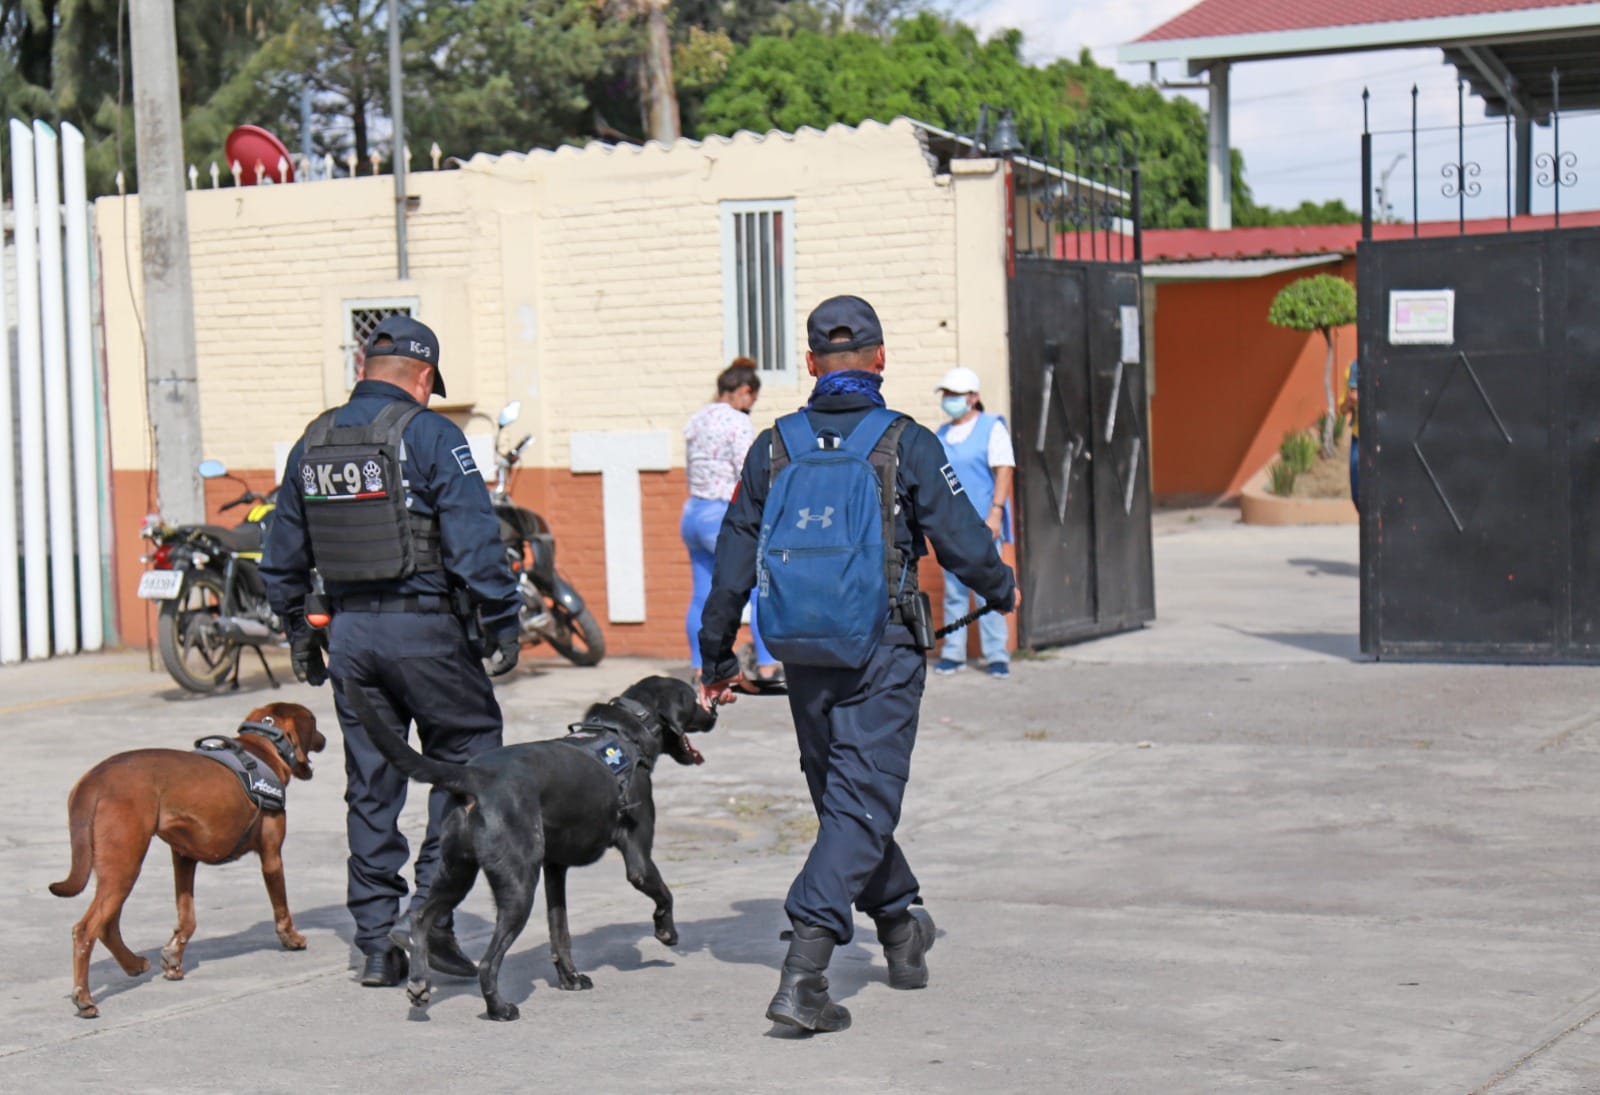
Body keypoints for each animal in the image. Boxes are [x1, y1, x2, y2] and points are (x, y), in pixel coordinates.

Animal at [50, 701, 326, 1018]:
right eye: (315, 726)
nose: (325, 740)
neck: (262, 747)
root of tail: (94, 780)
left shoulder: (183, 857)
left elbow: (187, 917)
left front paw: (173, 957)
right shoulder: (271, 856)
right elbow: (281, 907)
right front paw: (291, 938)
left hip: (118, 867)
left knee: (107, 925)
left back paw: (133, 964)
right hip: (125, 864)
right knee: (85, 930)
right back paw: (84, 997)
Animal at [347, 672, 716, 1024]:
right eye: (693, 698)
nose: (713, 712)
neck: (629, 726)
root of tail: (474, 775)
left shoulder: (554, 868)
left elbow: (560, 931)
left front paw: (570, 979)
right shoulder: (638, 858)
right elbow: (664, 893)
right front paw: (666, 932)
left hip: (456, 871)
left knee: (421, 917)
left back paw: (420, 983)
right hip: (518, 884)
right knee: (487, 962)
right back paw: (498, 1009)